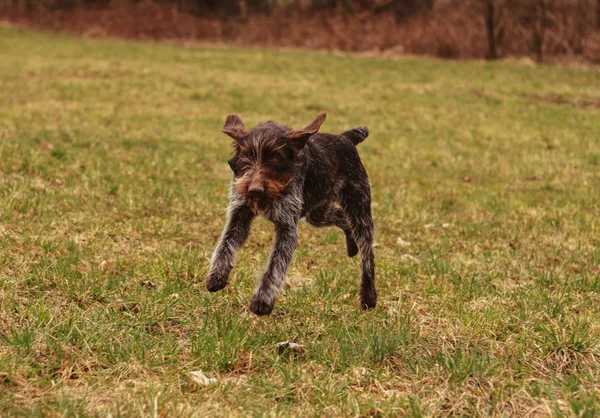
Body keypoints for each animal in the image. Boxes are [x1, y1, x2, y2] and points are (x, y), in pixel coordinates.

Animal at [206, 112, 376, 316]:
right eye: (246, 156)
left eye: (275, 158)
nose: (254, 190)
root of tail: (345, 138)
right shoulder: (239, 213)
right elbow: (225, 244)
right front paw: (217, 276)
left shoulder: (287, 227)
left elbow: (275, 266)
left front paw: (262, 301)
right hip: (317, 211)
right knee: (342, 218)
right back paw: (351, 246)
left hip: (359, 208)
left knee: (367, 255)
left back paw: (369, 296)